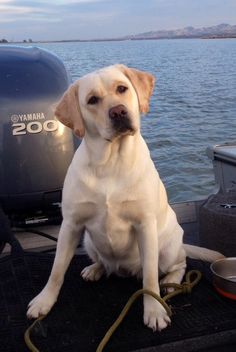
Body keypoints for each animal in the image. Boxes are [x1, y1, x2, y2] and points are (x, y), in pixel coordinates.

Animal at [27, 64, 223, 332]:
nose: (119, 111)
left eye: (122, 88)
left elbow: (150, 279)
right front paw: (44, 301)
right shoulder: (71, 225)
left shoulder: (145, 225)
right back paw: (95, 269)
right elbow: (57, 269)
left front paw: (154, 310)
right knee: (103, 262)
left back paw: (170, 282)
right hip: (88, 241)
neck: (110, 162)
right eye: (92, 100)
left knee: (179, 265)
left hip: (167, 248)